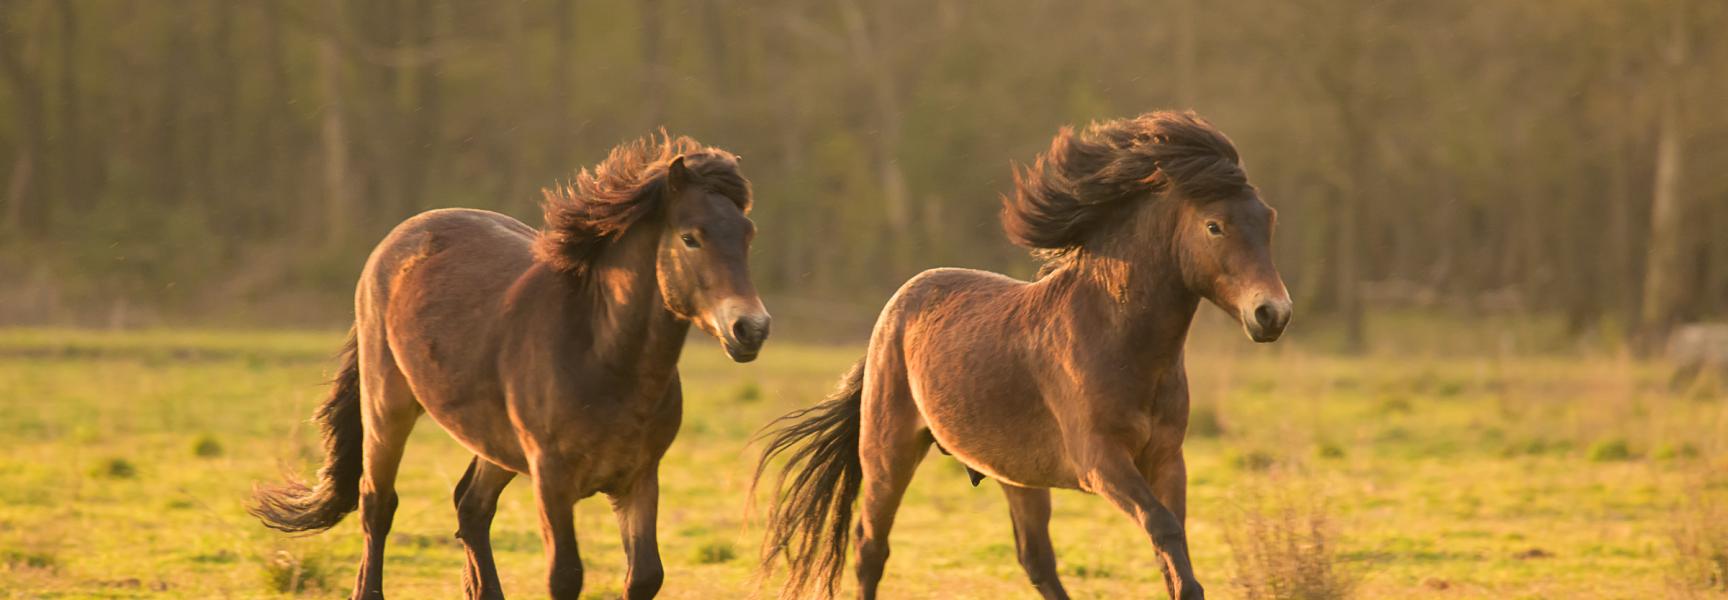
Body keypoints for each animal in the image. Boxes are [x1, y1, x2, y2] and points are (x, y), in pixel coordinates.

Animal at [249, 133, 770, 600]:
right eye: (691, 238)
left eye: (748, 236)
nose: (752, 328)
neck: (603, 357)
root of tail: (395, 241)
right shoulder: (552, 478)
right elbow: (566, 577)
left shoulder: (639, 478)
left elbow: (644, 577)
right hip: (387, 407)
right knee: (378, 504)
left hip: (494, 443)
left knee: (471, 508)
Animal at [753, 111, 1291, 599]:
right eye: (1215, 226)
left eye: (1268, 219)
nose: (1272, 313)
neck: (1116, 339)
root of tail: (894, 309)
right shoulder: (1101, 461)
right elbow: (1162, 528)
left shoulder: (1166, 458)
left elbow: (1174, 551)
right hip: (889, 452)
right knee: (870, 547)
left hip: (1017, 476)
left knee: (1036, 562)